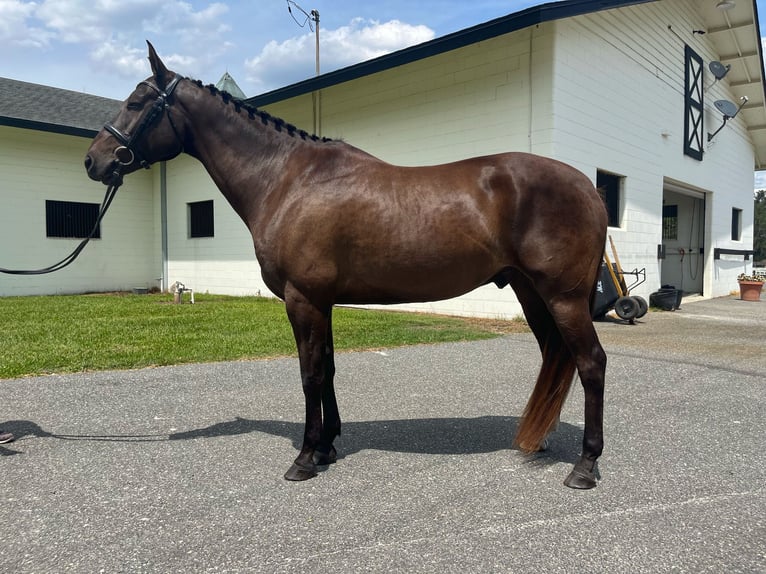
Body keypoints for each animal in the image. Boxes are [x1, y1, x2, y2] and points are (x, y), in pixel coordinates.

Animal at [85, 42, 612, 490]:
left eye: (136, 103)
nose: (94, 161)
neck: (287, 180)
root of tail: (588, 186)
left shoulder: (302, 299)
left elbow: (310, 375)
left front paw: (303, 458)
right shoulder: (323, 301)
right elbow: (330, 369)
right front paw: (326, 448)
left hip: (562, 297)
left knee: (590, 363)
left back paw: (585, 466)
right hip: (531, 293)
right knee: (555, 356)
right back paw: (540, 442)